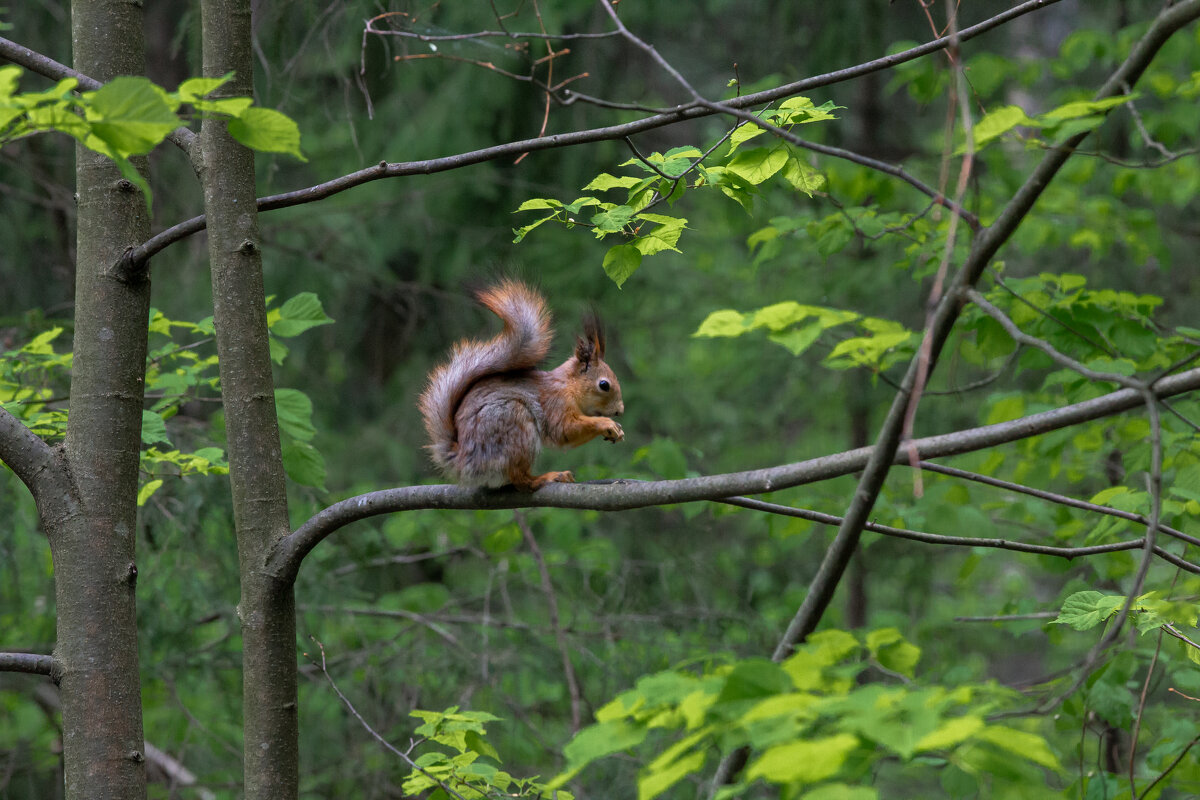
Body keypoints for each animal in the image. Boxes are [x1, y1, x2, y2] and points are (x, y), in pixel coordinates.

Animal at [420, 281, 628, 494]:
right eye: (604, 385)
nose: (620, 411)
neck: (568, 386)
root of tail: (464, 464)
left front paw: (616, 431)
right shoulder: (555, 403)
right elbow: (565, 431)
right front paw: (607, 424)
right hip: (515, 424)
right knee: (521, 480)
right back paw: (548, 477)